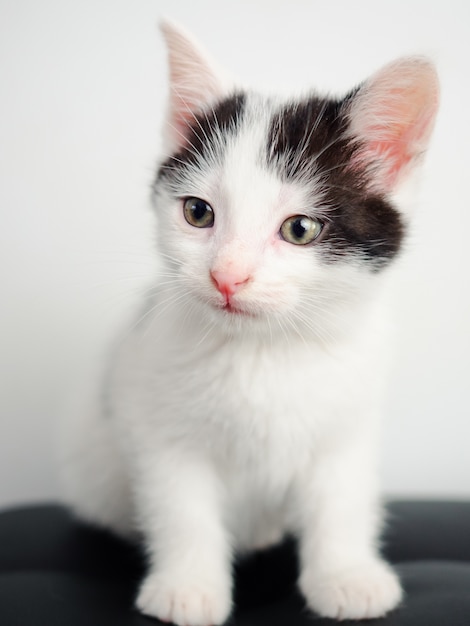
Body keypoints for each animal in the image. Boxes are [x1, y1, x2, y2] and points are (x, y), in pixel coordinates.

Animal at [60, 19, 438, 624]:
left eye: (300, 229)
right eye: (197, 212)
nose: (226, 276)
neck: (264, 350)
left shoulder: (347, 420)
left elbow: (341, 498)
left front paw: (346, 575)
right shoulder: (154, 417)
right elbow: (180, 506)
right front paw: (188, 587)